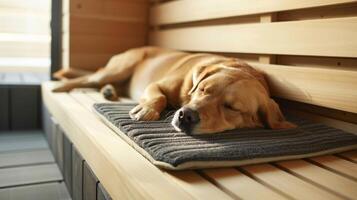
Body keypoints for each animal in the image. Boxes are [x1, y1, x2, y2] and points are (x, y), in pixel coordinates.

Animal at [52, 46, 294, 134]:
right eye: (203, 89)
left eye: (231, 107)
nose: (185, 115)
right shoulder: (156, 85)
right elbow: (158, 97)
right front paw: (146, 110)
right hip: (119, 68)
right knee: (87, 78)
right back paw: (60, 85)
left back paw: (109, 91)